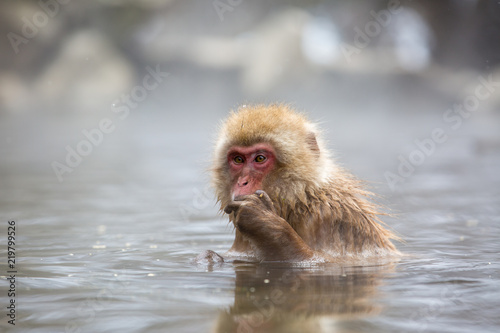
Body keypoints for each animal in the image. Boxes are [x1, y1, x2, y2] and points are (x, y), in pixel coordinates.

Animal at [199, 104, 398, 262]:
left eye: (260, 158)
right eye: (238, 159)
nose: (243, 182)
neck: (299, 201)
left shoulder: (333, 217)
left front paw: (265, 224)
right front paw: (208, 258)